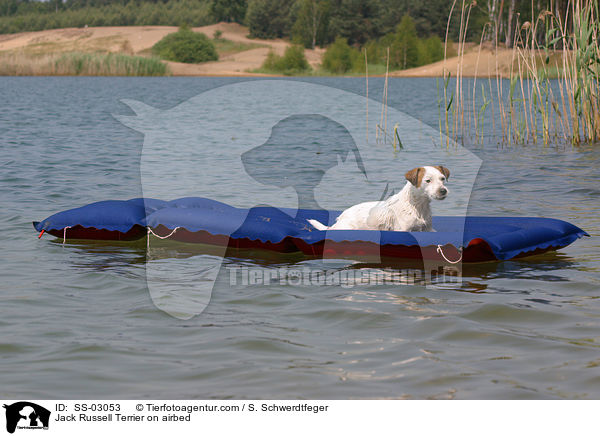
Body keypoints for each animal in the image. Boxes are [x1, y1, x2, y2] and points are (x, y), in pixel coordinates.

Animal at [310, 165, 450, 232]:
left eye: (442, 178)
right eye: (427, 180)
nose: (443, 191)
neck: (417, 205)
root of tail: (337, 222)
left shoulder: (428, 229)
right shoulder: (403, 230)